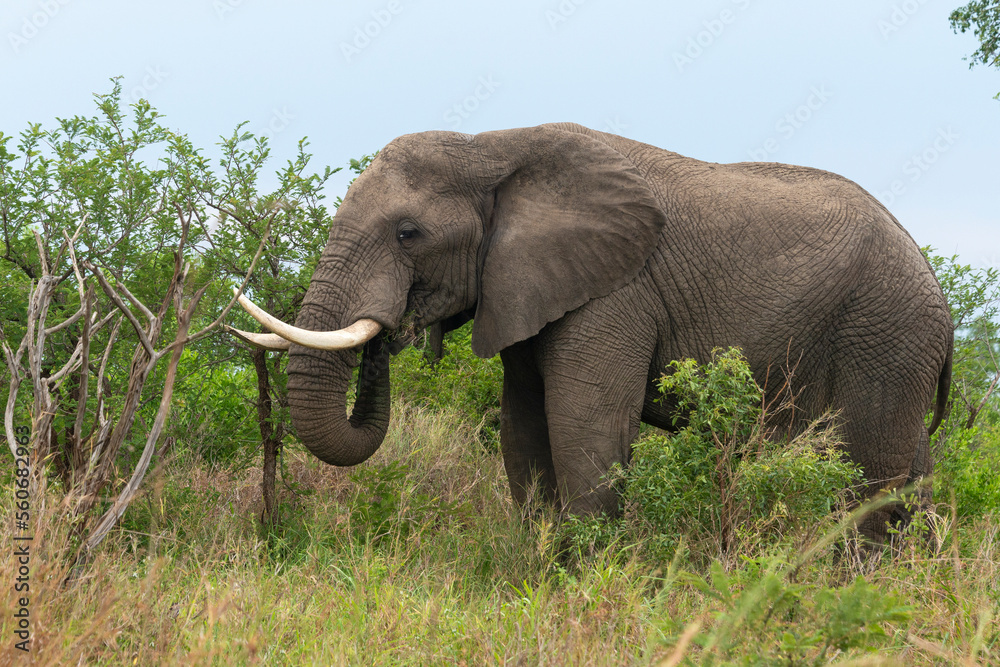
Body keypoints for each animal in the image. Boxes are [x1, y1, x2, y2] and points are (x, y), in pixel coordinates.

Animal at [230, 122, 953, 544]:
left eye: (408, 233)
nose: (390, 332)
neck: (495, 146)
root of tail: (938, 293)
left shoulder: (617, 293)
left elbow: (586, 426)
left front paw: (587, 576)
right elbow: (524, 431)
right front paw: (541, 567)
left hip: (887, 336)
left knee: (874, 480)